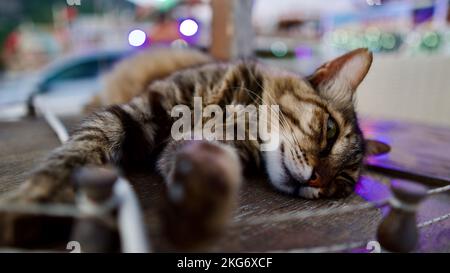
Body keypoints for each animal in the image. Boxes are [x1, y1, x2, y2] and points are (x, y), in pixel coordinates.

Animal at [0, 46, 388, 244]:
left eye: (342, 182)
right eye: (330, 130)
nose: (318, 180)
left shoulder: (190, 144)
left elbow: (203, 160)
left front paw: (200, 200)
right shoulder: (139, 111)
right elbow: (77, 152)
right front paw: (39, 199)